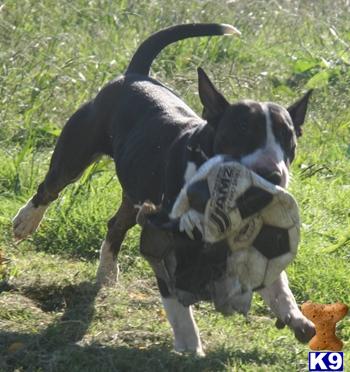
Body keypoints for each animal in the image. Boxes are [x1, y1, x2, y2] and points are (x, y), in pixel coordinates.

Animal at [13, 23, 314, 354]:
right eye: (243, 131)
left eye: (289, 138)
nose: (272, 173)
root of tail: (135, 75)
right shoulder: (162, 238)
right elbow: (177, 305)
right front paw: (191, 348)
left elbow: (274, 277)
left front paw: (294, 315)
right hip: (75, 154)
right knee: (50, 187)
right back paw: (25, 222)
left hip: (135, 193)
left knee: (116, 225)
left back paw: (107, 272)